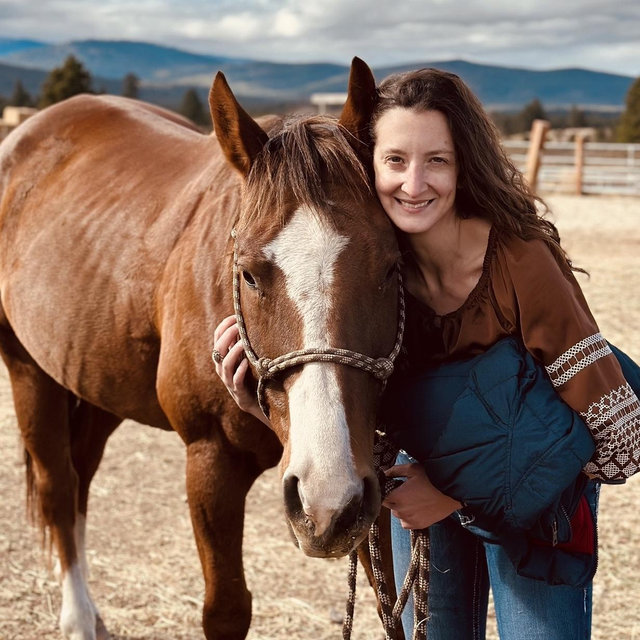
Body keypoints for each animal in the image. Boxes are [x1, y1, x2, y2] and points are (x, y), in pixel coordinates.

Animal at [0, 58, 402, 639]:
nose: (324, 503)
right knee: (58, 486)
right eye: (249, 273)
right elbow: (226, 609)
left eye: (392, 266)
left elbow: (393, 606)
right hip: (29, 370)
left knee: (80, 481)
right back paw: (77, 618)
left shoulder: (367, 481)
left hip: (99, 383)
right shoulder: (210, 459)